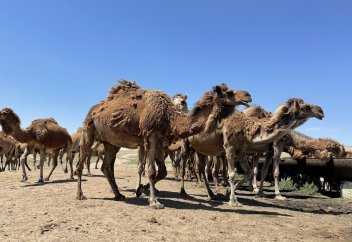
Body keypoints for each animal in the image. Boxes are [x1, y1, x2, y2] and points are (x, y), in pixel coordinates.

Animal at [77, 80, 253, 209]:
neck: (169, 118)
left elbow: (162, 171)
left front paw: (143, 189)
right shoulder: (150, 136)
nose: (248, 95)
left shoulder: (160, 142)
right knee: (82, 162)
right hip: (88, 131)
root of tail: (95, 109)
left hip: (110, 143)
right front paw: (154, 201)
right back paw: (80, 194)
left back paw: (119, 195)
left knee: (106, 166)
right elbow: (151, 171)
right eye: (229, 92)